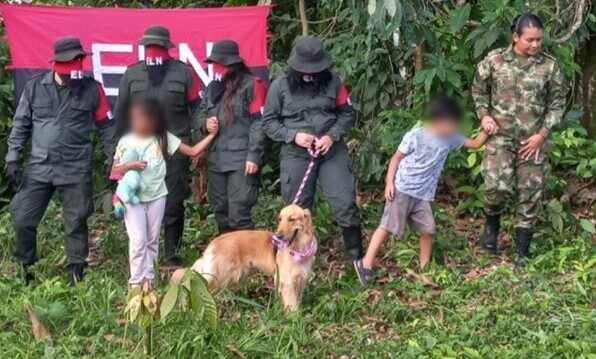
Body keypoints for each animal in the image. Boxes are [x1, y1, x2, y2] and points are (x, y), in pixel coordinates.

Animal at [173, 205, 316, 312]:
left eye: (292, 219)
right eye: (280, 219)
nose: (277, 236)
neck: (298, 249)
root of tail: (214, 242)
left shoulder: (300, 280)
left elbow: (297, 299)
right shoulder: (286, 282)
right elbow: (292, 305)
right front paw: (294, 319)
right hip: (222, 277)